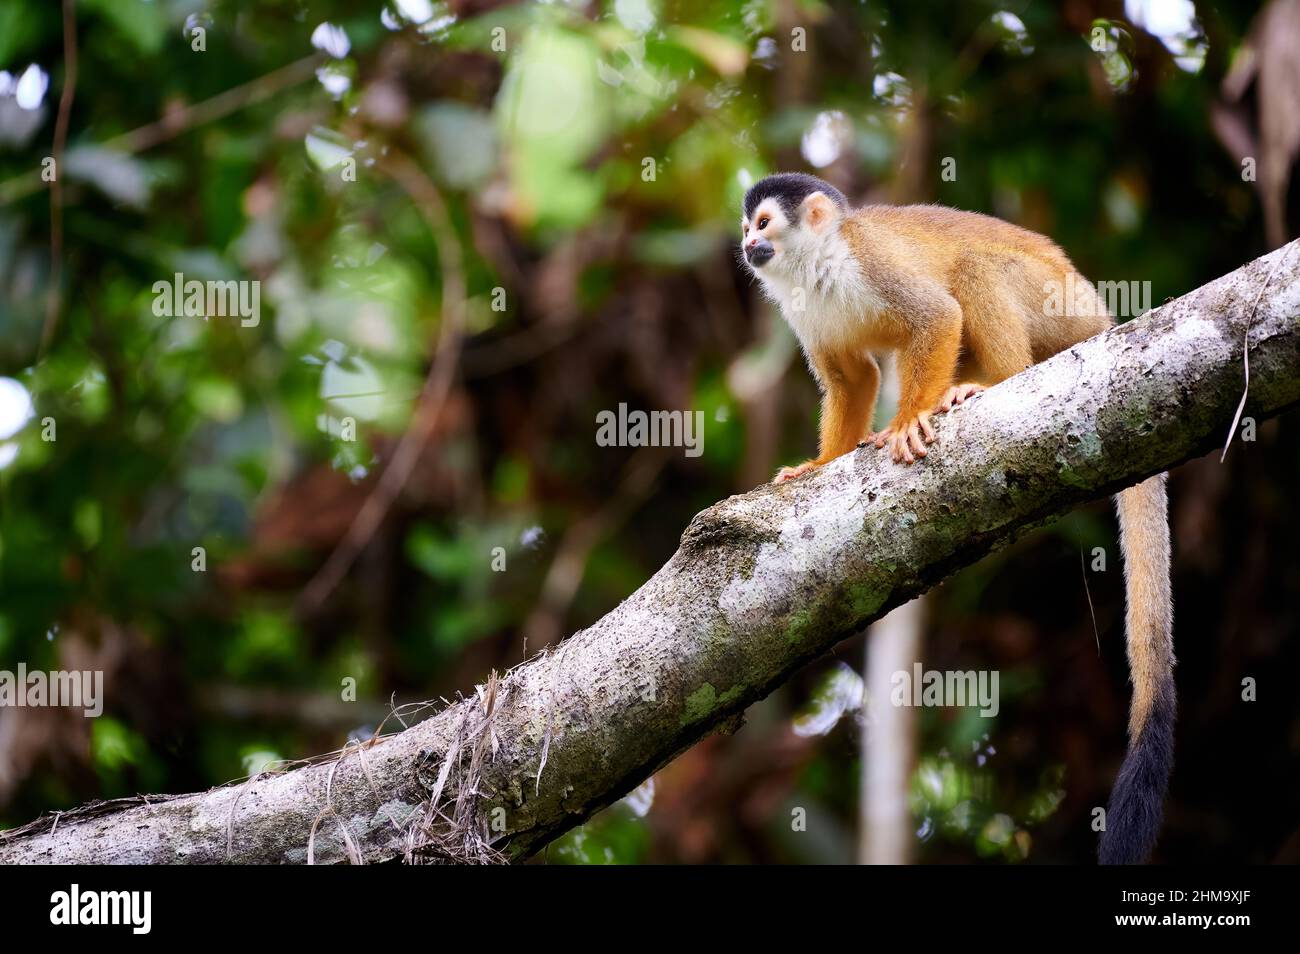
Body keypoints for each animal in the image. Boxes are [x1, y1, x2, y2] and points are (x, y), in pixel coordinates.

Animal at [743, 174, 1180, 868]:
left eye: (763, 222)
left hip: (1060, 308)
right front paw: (819, 464)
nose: (746, 245)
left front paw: (909, 420)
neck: (816, 266)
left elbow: (936, 316)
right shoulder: (802, 314)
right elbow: (851, 376)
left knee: (975, 271)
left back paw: (994, 383)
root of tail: (1105, 317)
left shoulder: (871, 262)